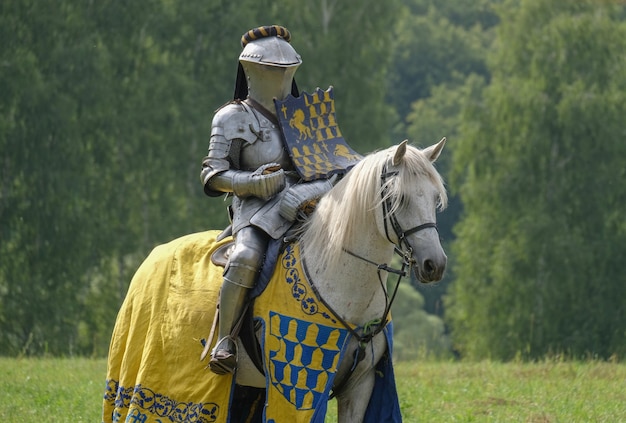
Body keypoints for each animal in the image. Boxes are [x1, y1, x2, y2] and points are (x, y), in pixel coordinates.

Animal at [103, 140, 444, 423]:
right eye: (398, 198)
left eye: (435, 199)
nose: (434, 265)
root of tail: (151, 257)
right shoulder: (299, 387)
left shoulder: (361, 386)